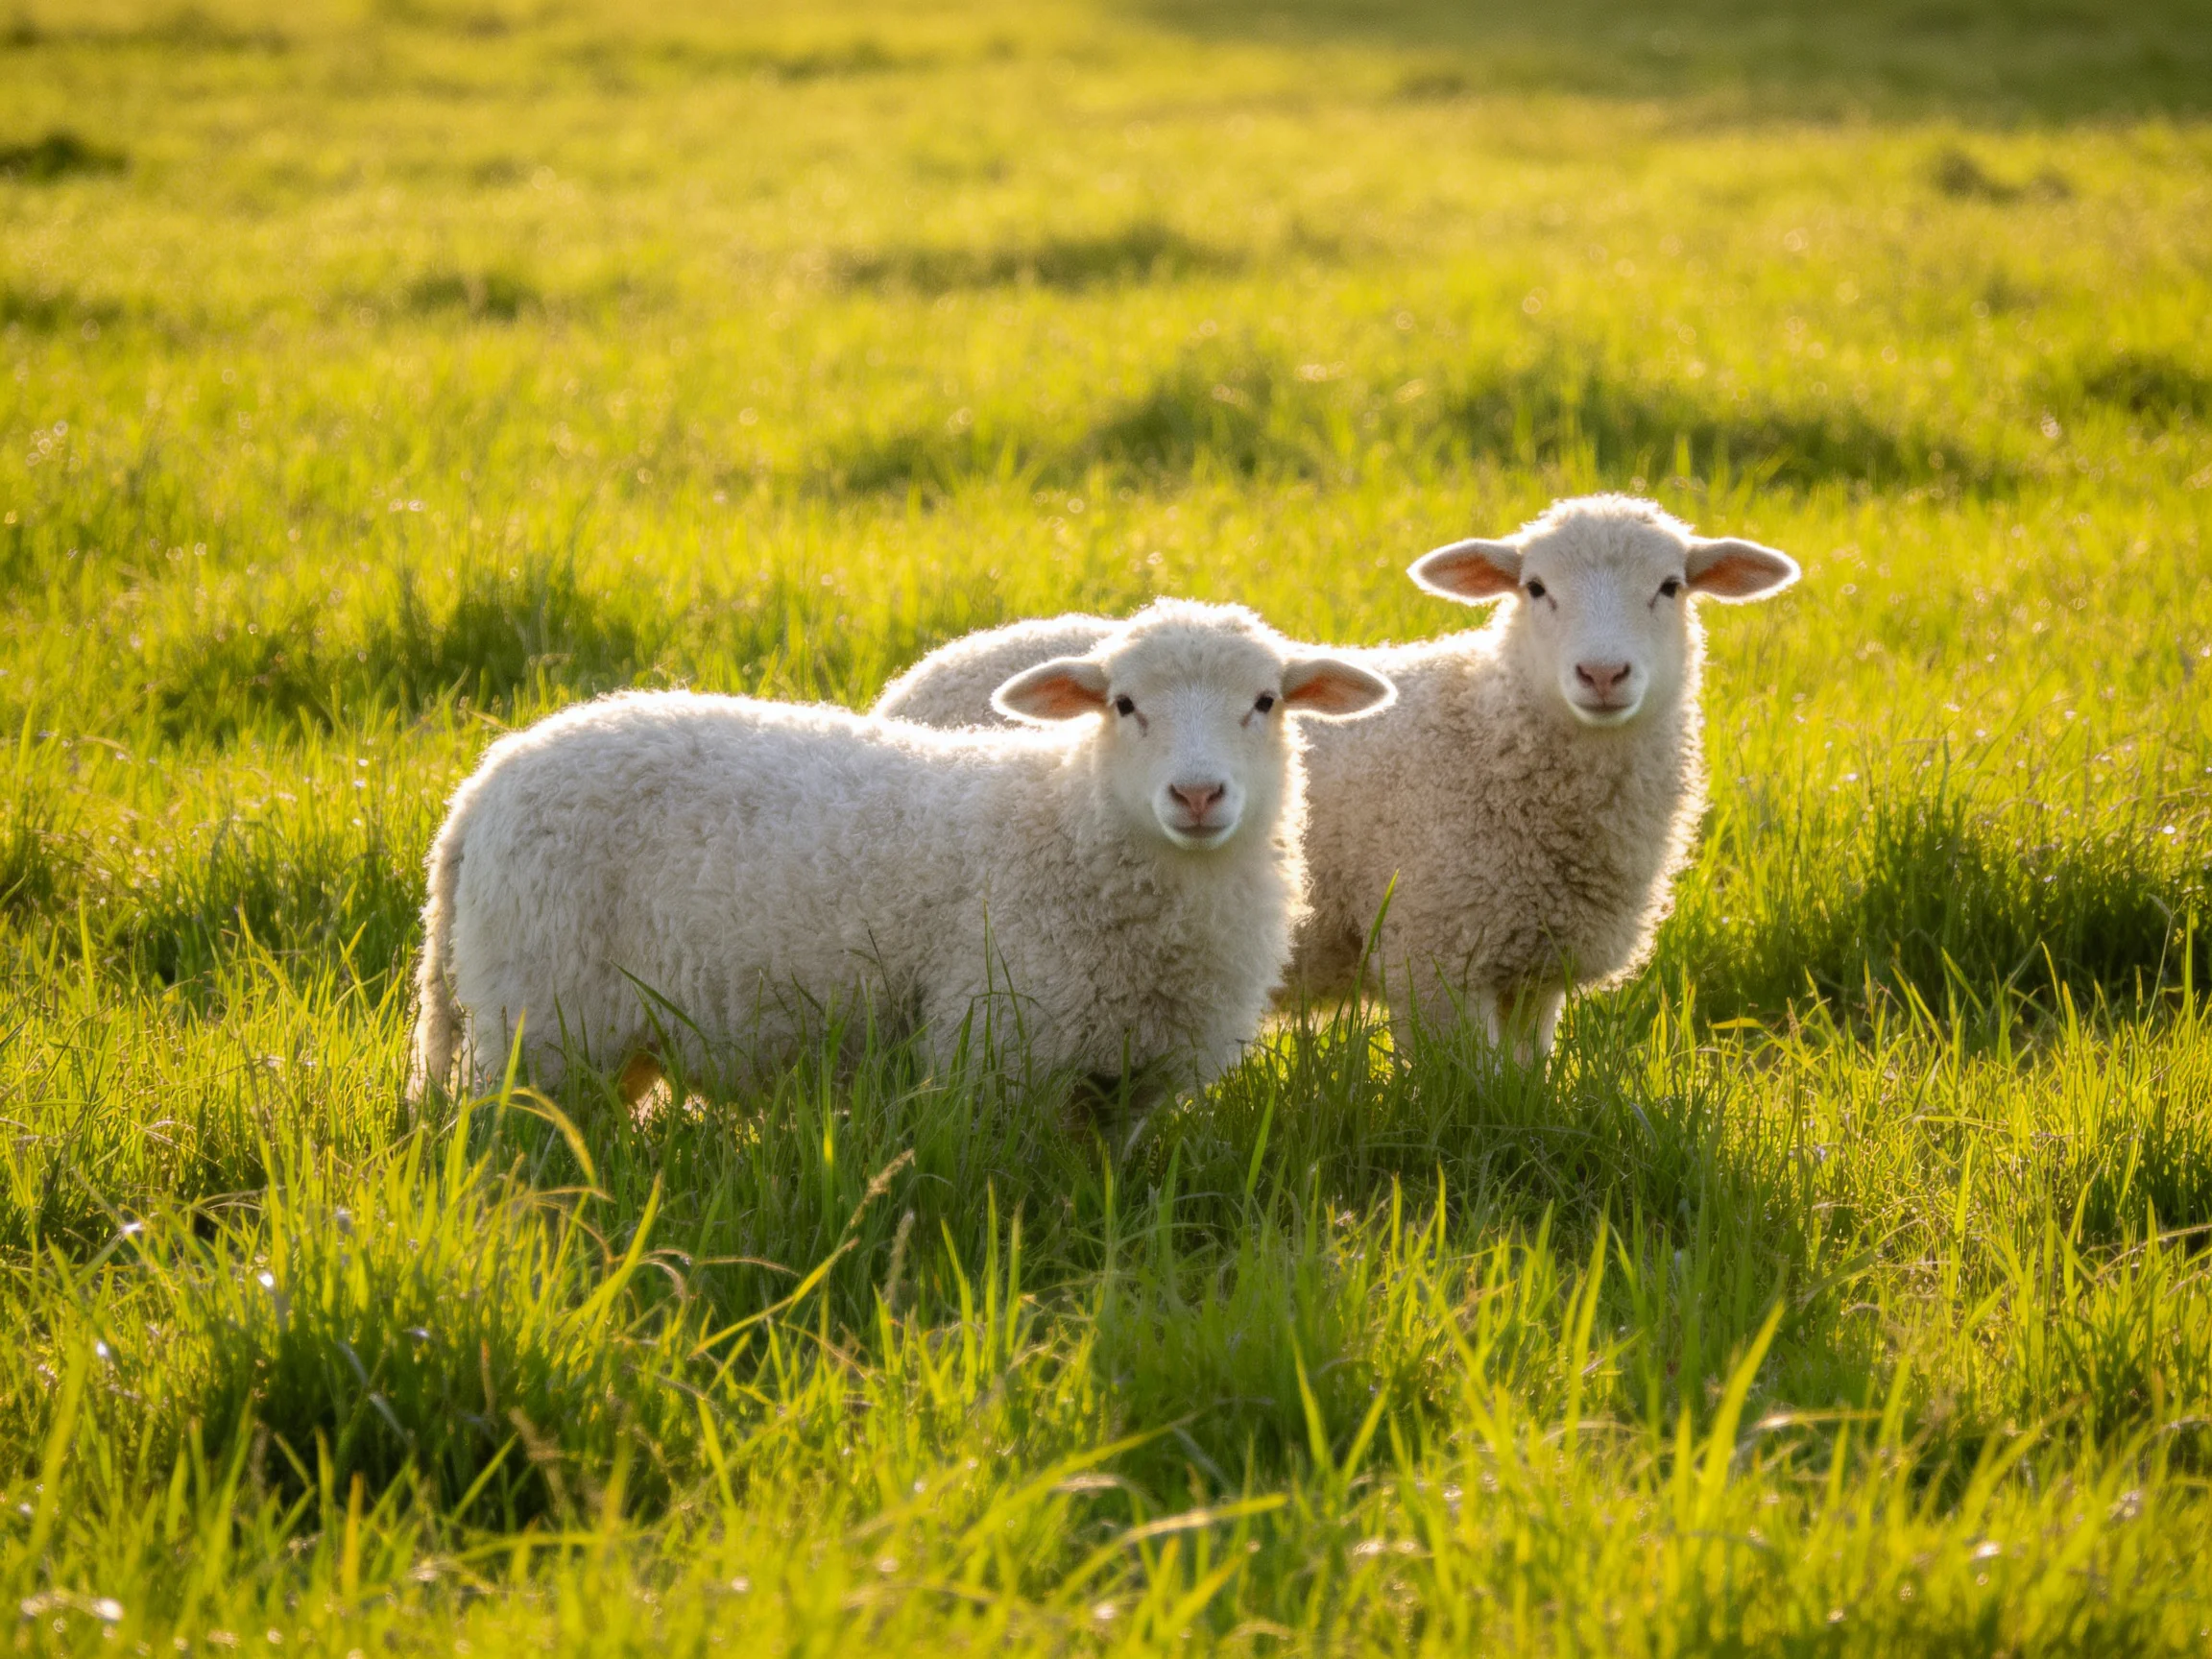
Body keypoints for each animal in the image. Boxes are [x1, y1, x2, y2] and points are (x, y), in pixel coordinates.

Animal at [407, 599, 1395, 1105]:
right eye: (1122, 705)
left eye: (1266, 701)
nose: (1197, 796)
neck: (1069, 827)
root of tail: (480, 788)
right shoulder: (992, 1048)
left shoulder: (1130, 1085)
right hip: (540, 1025)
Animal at [874, 495, 1799, 1058]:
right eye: (1535, 587)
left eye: (1671, 586)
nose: (1603, 675)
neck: (1488, 730)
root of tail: (919, 674)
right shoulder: (1438, 951)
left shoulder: (1533, 965)